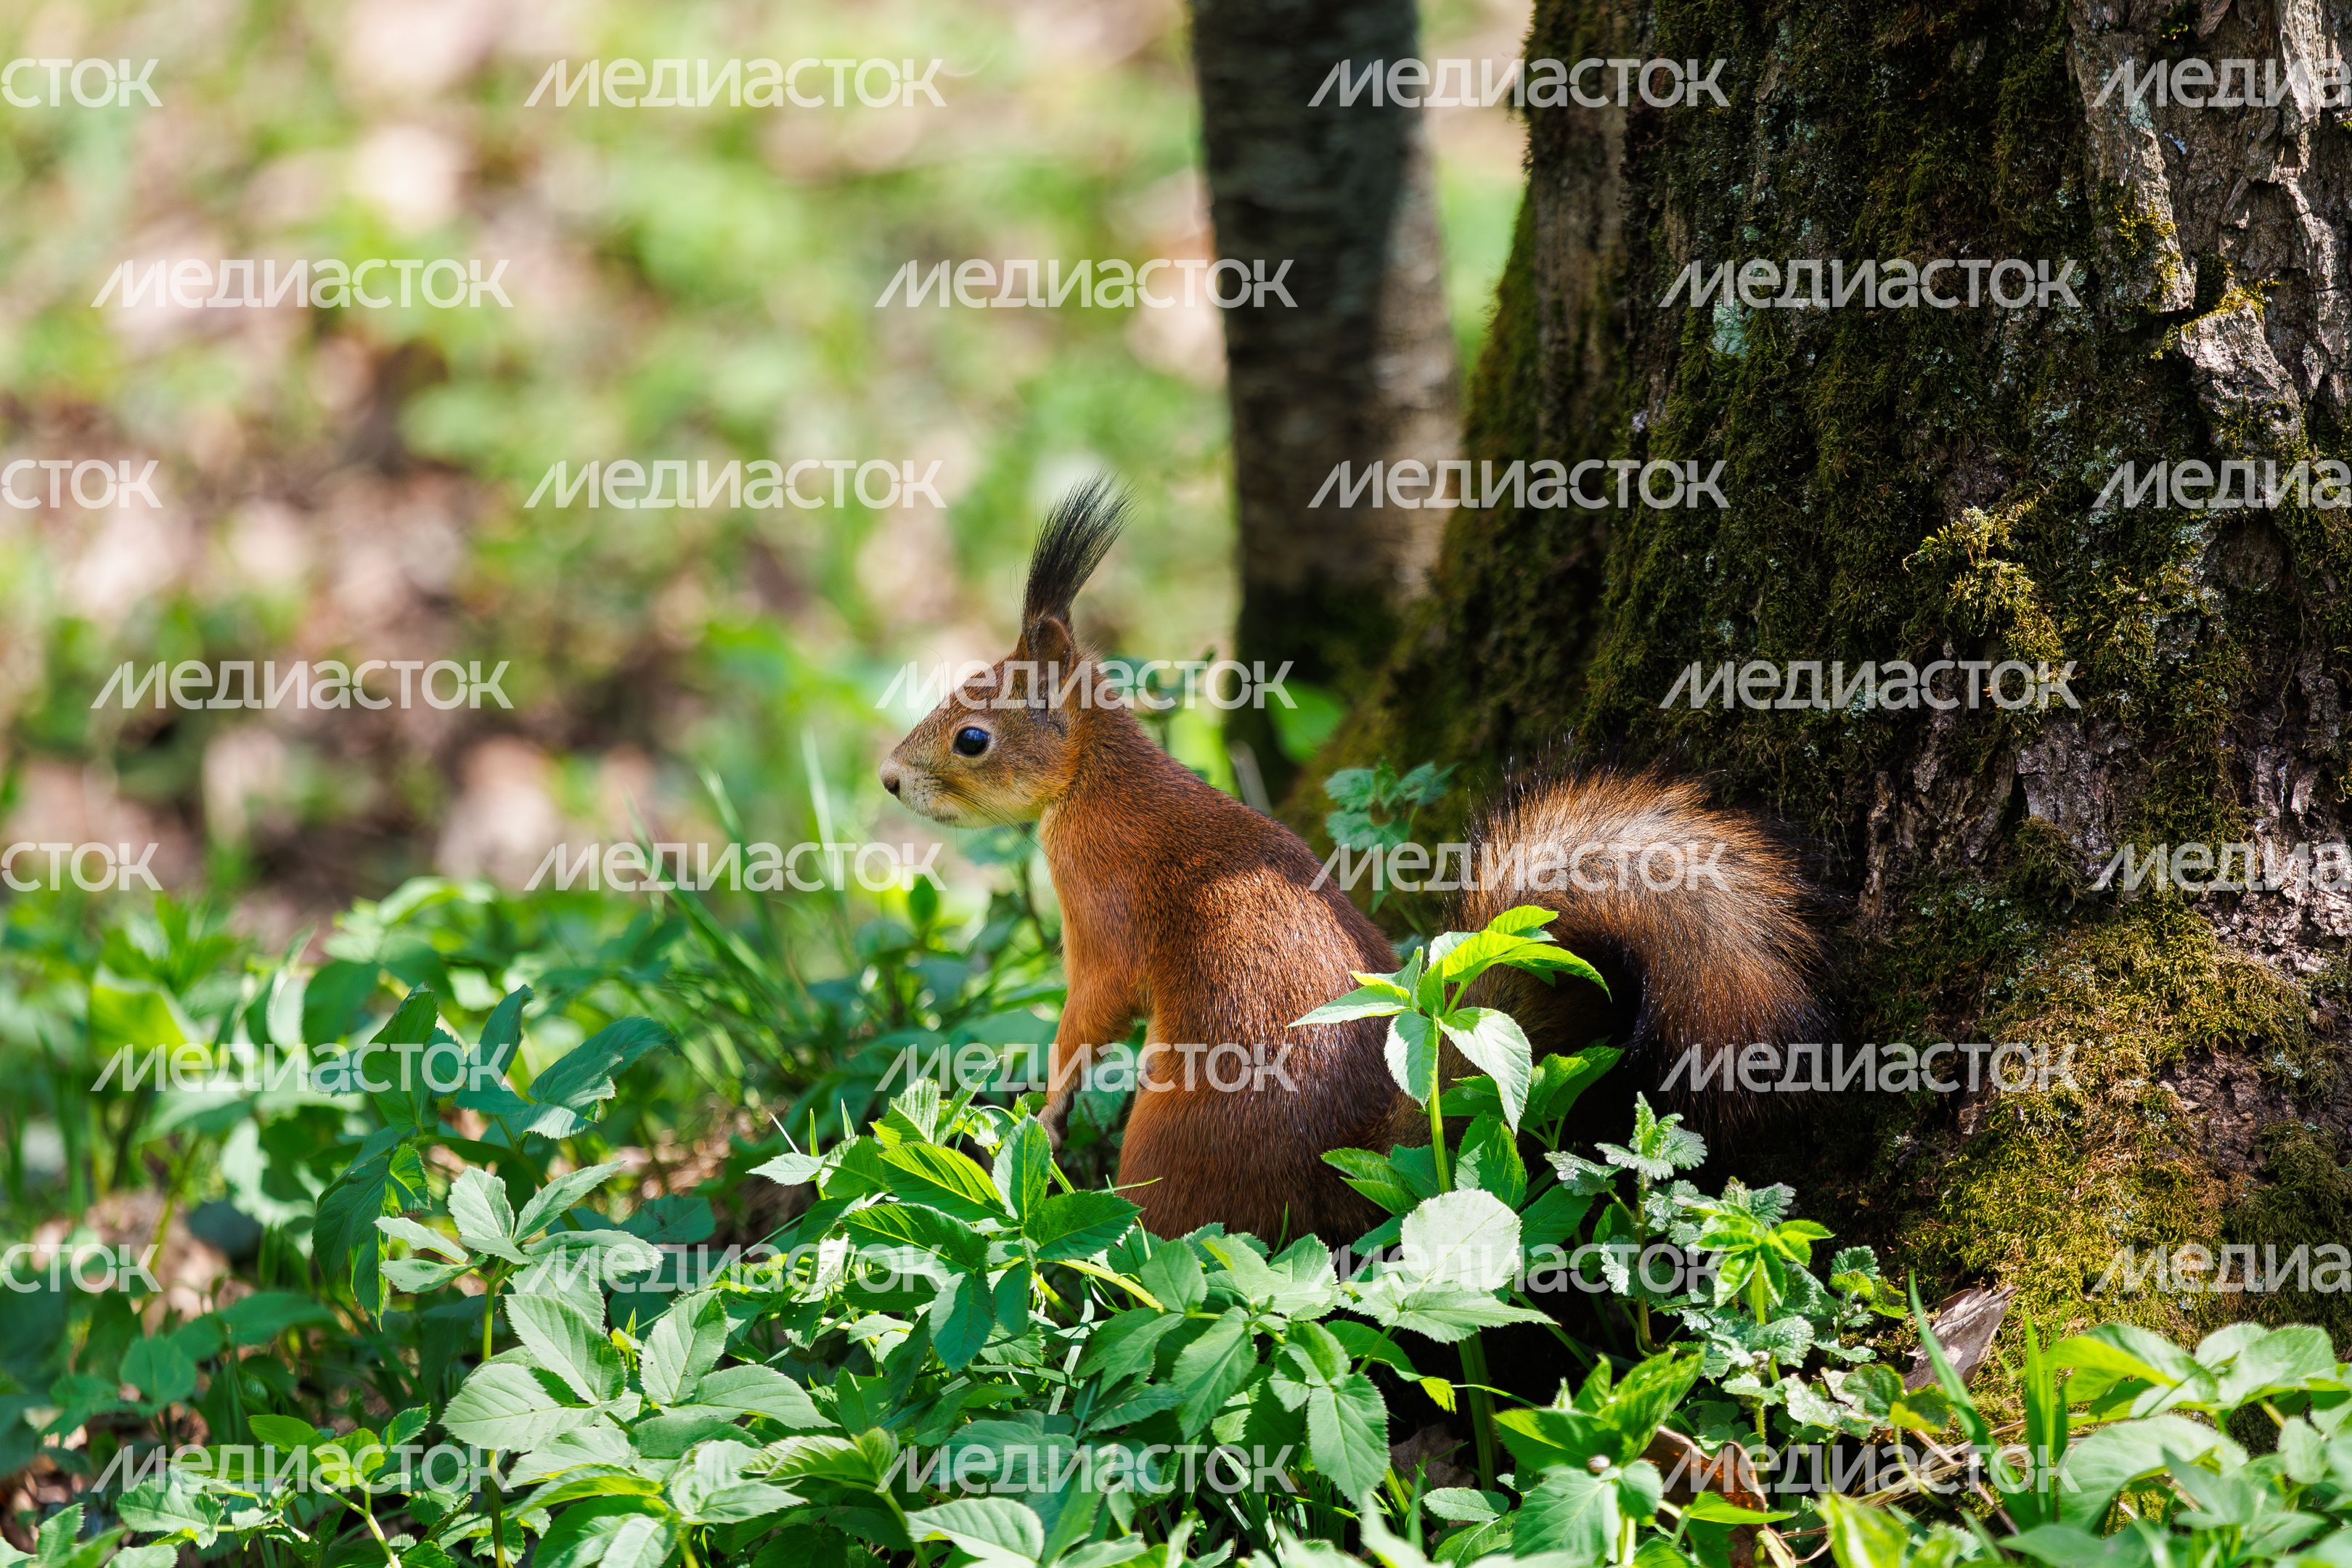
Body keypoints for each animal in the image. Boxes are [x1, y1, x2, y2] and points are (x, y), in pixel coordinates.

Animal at [881, 481, 1824, 1243]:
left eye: (973, 737)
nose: (889, 778)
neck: (1096, 781)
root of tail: (1365, 1165)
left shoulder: (1103, 907)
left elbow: (1092, 1010)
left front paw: (1045, 1108)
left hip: (1175, 1146)